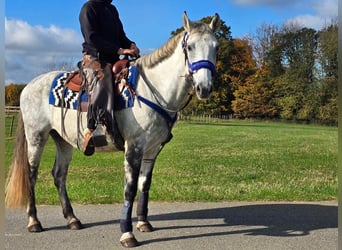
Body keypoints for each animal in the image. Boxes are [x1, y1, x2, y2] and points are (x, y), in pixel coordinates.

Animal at [6, 12, 222, 247]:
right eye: (190, 47)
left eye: (216, 47)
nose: (204, 88)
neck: (152, 90)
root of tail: (29, 86)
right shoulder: (134, 147)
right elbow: (130, 188)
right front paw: (127, 233)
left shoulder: (152, 149)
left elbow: (144, 185)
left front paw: (143, 223)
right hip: (36, 137)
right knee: (31, 175)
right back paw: (34, 221)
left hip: (63, 140)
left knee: (59, 175)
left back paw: (72, 219)